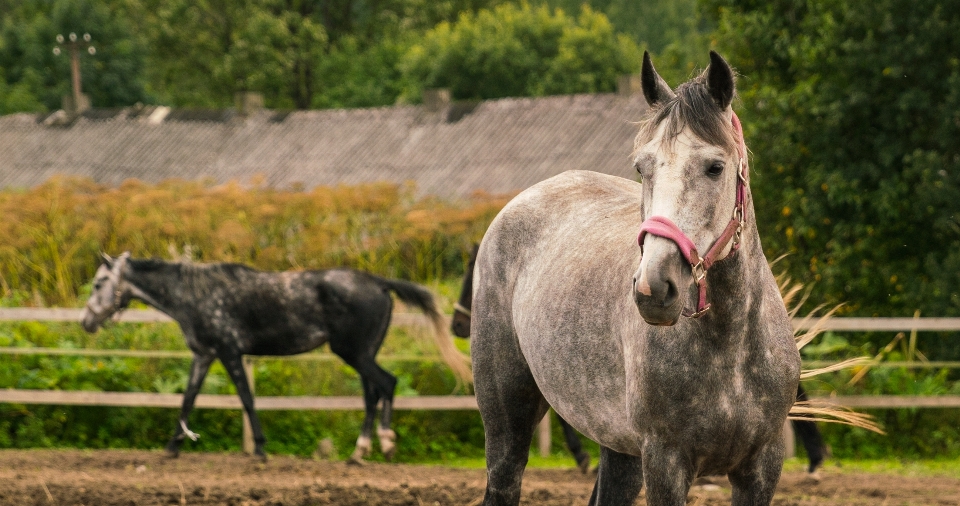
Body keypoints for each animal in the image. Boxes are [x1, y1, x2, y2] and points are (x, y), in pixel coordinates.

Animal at [82, 252, 472, 458]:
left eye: (99, 283)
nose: (86, 321)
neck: (195, 295)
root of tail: (378, 282)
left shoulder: (229, 352)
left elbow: (246, 398)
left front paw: (260, 449)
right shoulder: (204, 356)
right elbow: (188, 399)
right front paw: (172, 446)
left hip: (354, 353)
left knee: (386, 385)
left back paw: (382, 446)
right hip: (361, 355)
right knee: (372, 393)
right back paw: (360, 451)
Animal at [474, 52, 804, 506]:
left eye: (715, 167)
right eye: (641, 167)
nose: (653, 288)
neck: (732, 347)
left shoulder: (761, 467)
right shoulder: (665, 461)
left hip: (619, 446)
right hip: (508, 421)